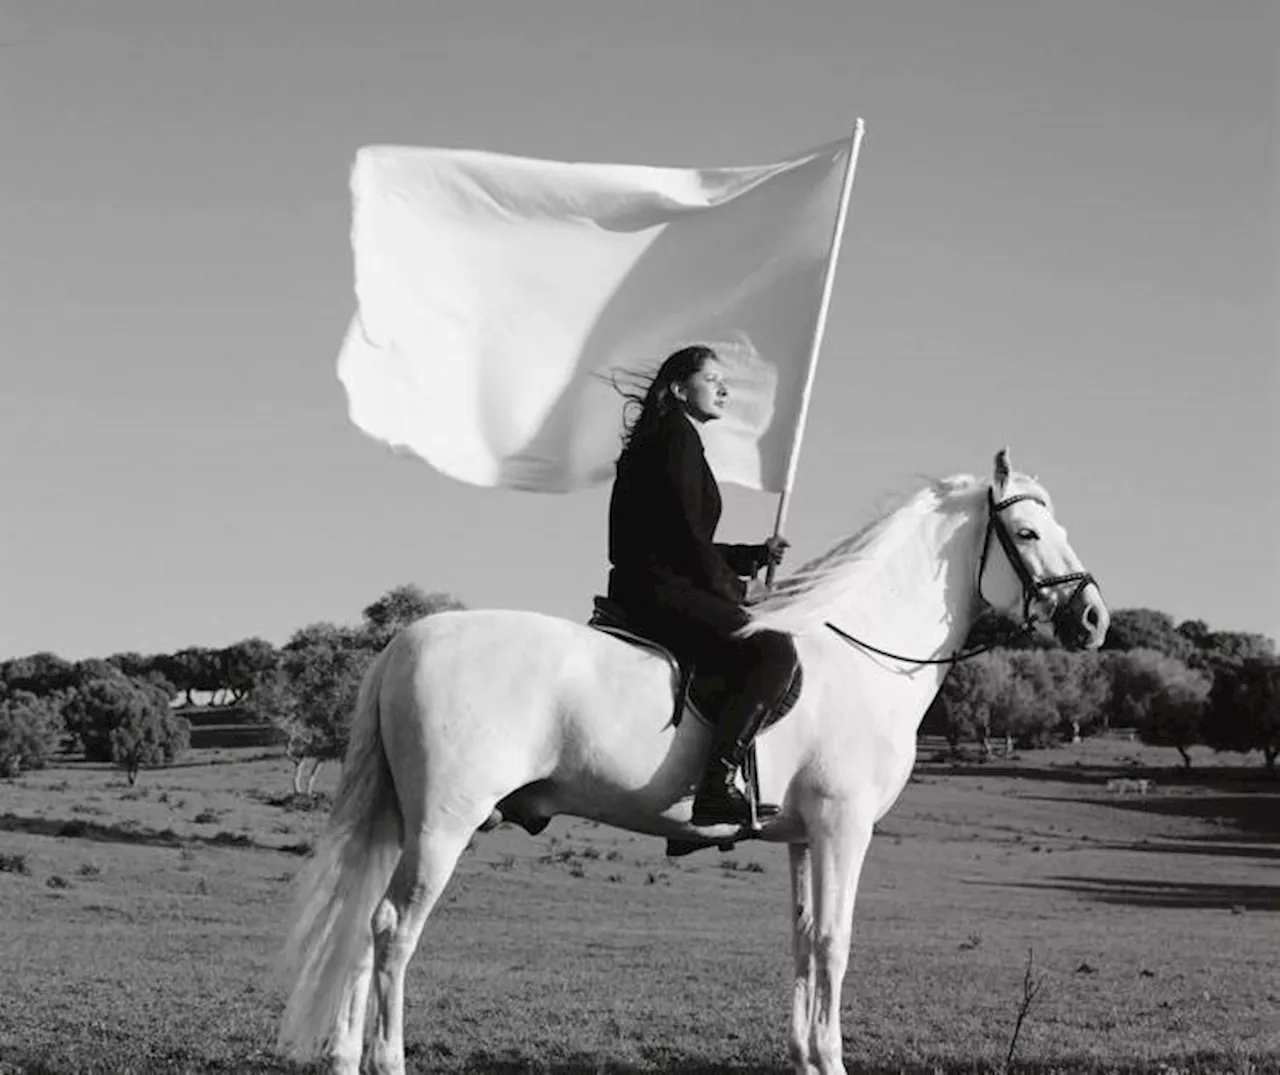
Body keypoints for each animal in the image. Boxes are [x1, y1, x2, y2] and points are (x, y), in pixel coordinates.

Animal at [277, 447, 1111, 1075]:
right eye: (1028, 532)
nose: (1095, 617)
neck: (862, 651)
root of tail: (404, 640)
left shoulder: (803, 838)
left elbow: (804, 943)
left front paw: (807, 1058)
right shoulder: (843, 830)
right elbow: (834, 944)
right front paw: (832, 1058)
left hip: (404, 821)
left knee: (363, 922)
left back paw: (347, 1057)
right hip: (444, 825)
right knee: (392, 927)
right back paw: (387, 1058)